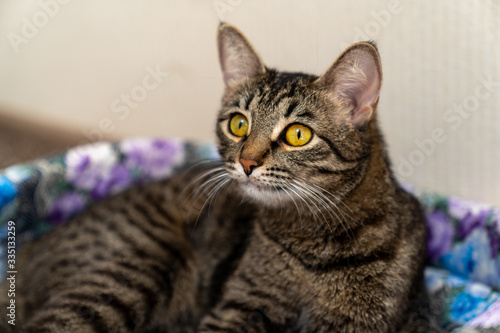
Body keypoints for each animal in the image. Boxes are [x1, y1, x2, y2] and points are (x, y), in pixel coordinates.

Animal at [0, 22, 434, 330]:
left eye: (298, 134)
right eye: (238, 124)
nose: (247, 162)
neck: (314, 237)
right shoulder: (239, 306)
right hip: (135, 266)